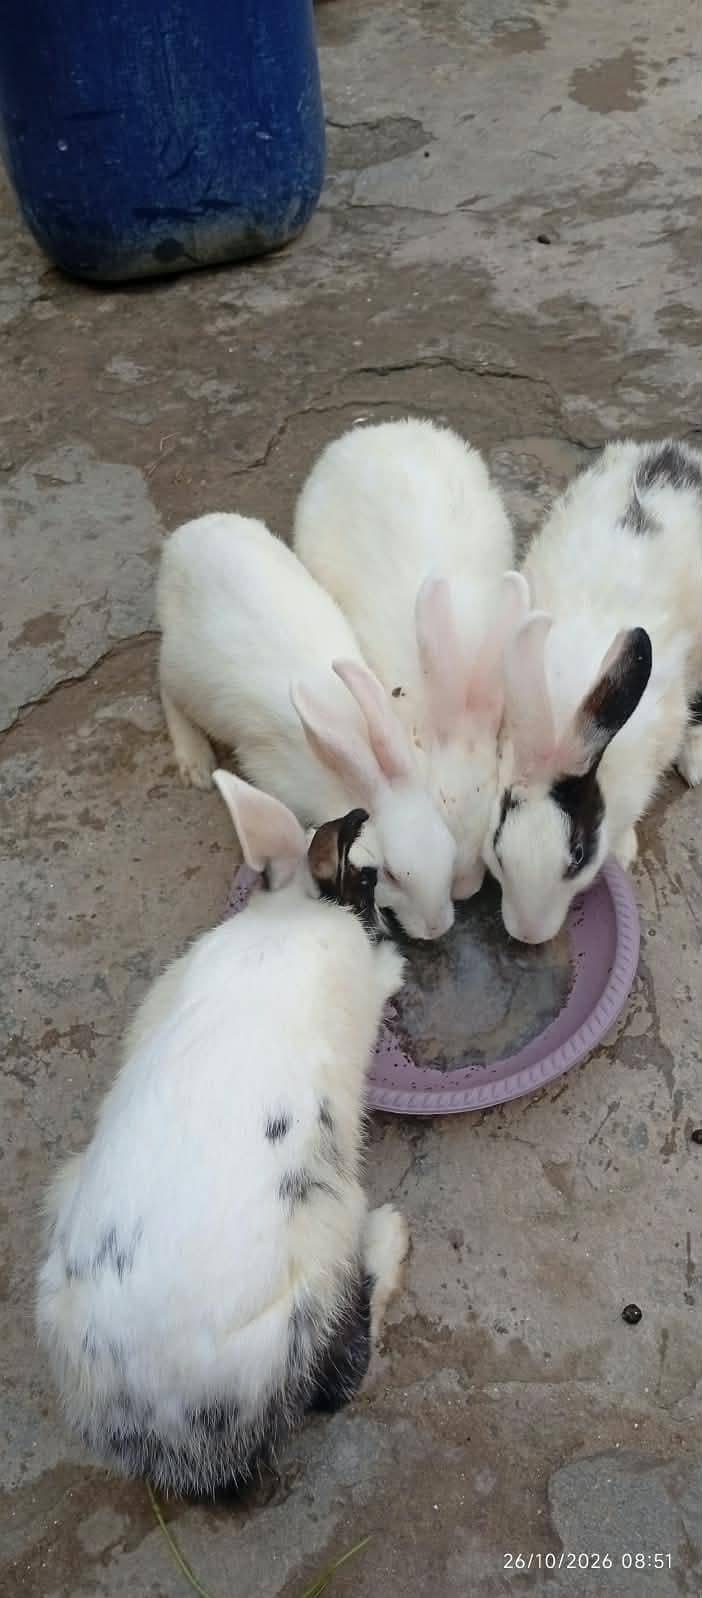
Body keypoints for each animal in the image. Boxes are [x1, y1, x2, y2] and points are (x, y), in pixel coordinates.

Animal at [36, 772, 409, 1499]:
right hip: (327, 1232)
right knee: (339, 1377)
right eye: (369, 876)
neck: (294, 912)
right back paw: (392, 1233)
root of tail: (152, 1413)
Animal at [157, 511, 456, 942]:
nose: (437, 928)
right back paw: (194, 762)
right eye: (392, 876)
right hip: (185, 673)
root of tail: (186, 537)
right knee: (165, 689)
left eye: (450, 853)